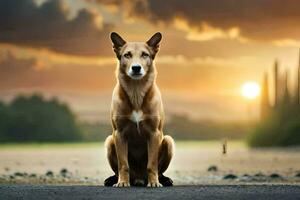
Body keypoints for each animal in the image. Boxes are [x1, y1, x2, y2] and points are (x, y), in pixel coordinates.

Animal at [104, 32, 175, 187]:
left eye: (145, 55)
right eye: (127, 55)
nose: (136, 68)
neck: (136, 92)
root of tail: (138, 179)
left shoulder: (154, 134)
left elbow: (152, 164)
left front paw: (154, 182)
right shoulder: (119, 134)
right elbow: (123, 164)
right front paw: (122, 182)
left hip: (168, 141)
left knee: (159, 170)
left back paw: (163, 179)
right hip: (110, 141)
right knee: (118, 170)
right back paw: (114, 179)